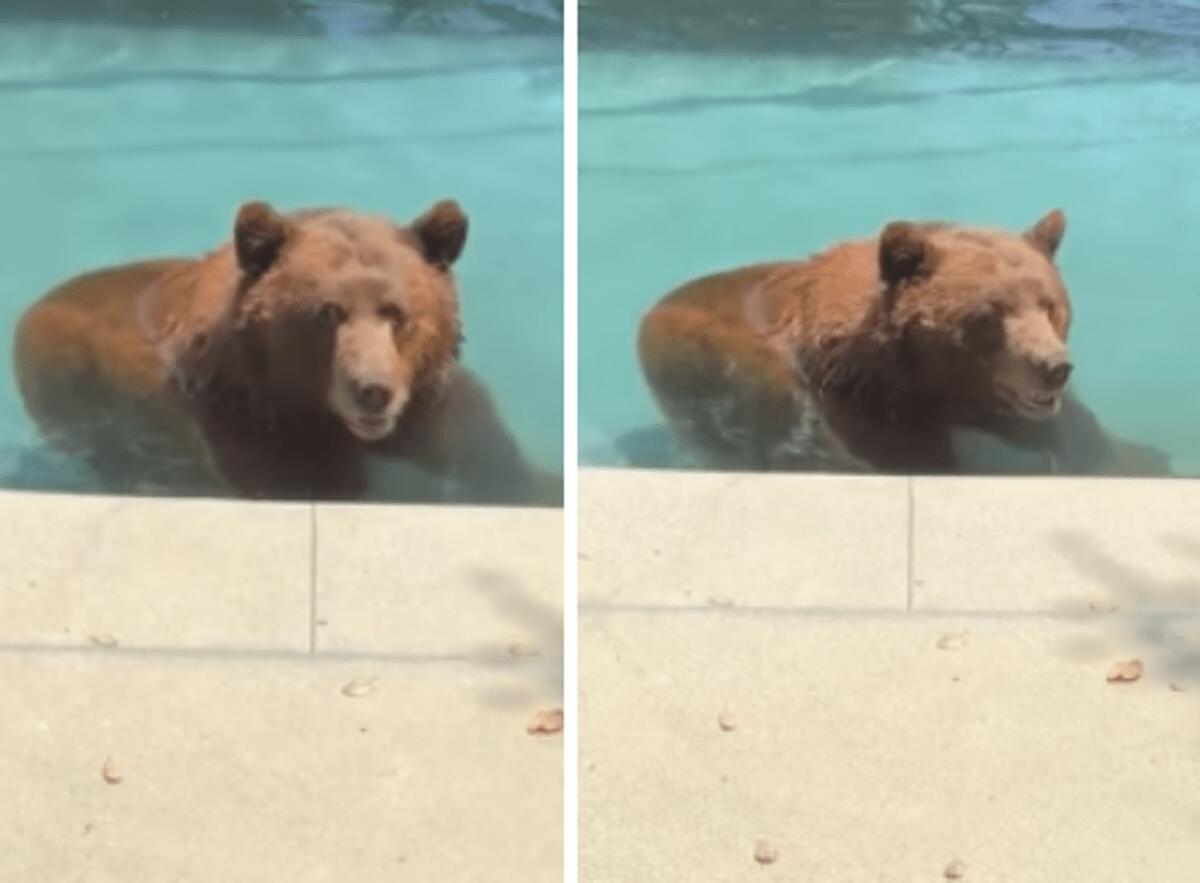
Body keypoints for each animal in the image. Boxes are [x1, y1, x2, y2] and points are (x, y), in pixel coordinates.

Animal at [13, 200, 562, 504]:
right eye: (328, 312)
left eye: (396, 312)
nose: (373, 390)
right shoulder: (256, 431)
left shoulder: (436, 410)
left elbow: (504, 469)